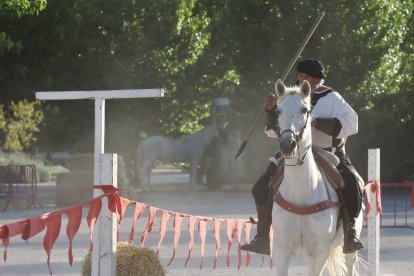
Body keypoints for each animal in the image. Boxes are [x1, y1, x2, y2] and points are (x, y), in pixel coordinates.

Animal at [272, 78, 362, 274]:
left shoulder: (320, 251)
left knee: (350, 262)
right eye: (278, 110)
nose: (288, 145)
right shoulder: (281, 249)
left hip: (348, 250)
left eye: (304, 110)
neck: (303, 194)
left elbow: (349, 121)